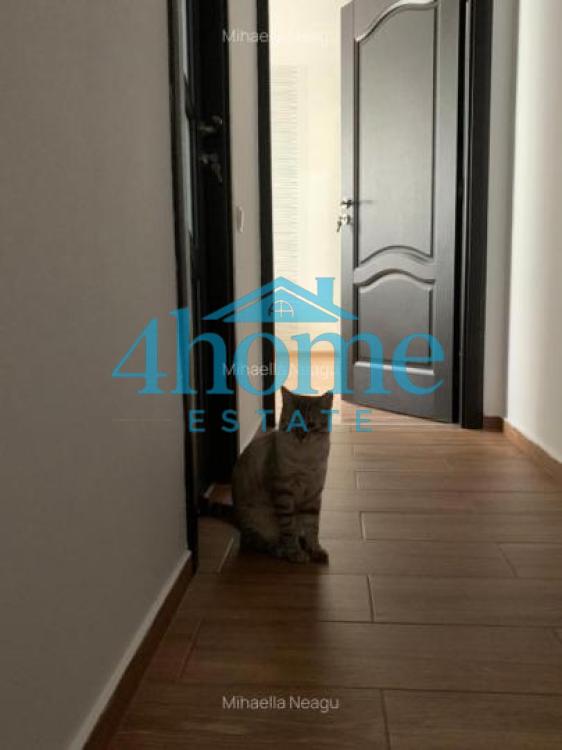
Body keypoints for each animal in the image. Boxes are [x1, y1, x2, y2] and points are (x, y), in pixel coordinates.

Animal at [232, 387, 333, 564]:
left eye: (311, 425)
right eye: (294, 422)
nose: (301, 436)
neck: (305, 458)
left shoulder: (314, 493)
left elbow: (313, 527)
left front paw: (315, 550)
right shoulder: (284, 493)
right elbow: (288, 528)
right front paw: (295, 552)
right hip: (254, 520)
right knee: (255, 542)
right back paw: (281, 549)